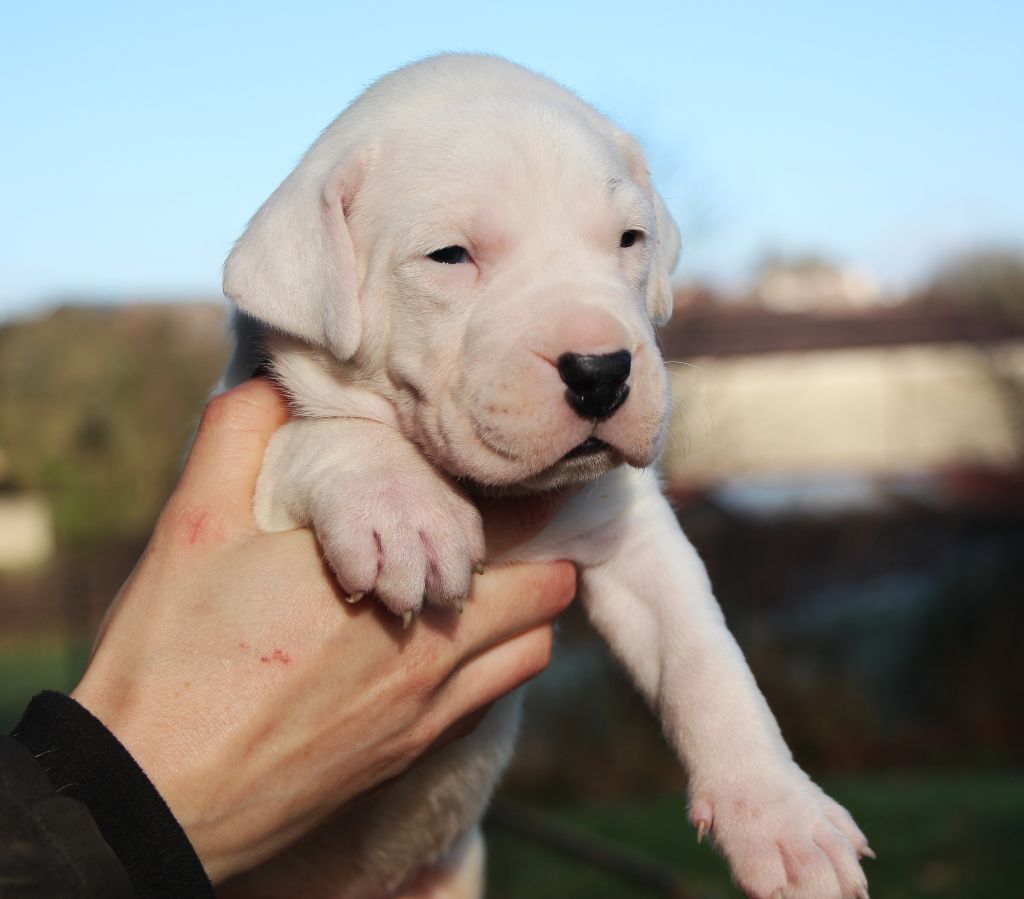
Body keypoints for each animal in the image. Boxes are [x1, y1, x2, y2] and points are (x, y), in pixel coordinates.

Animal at [218, 54, 872, 899]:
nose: (601, 371)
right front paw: (400, 505)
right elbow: (317, 436)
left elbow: (706, 661)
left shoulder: (634, 539)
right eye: (450, 256)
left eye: (630, 239)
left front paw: (782, 815)